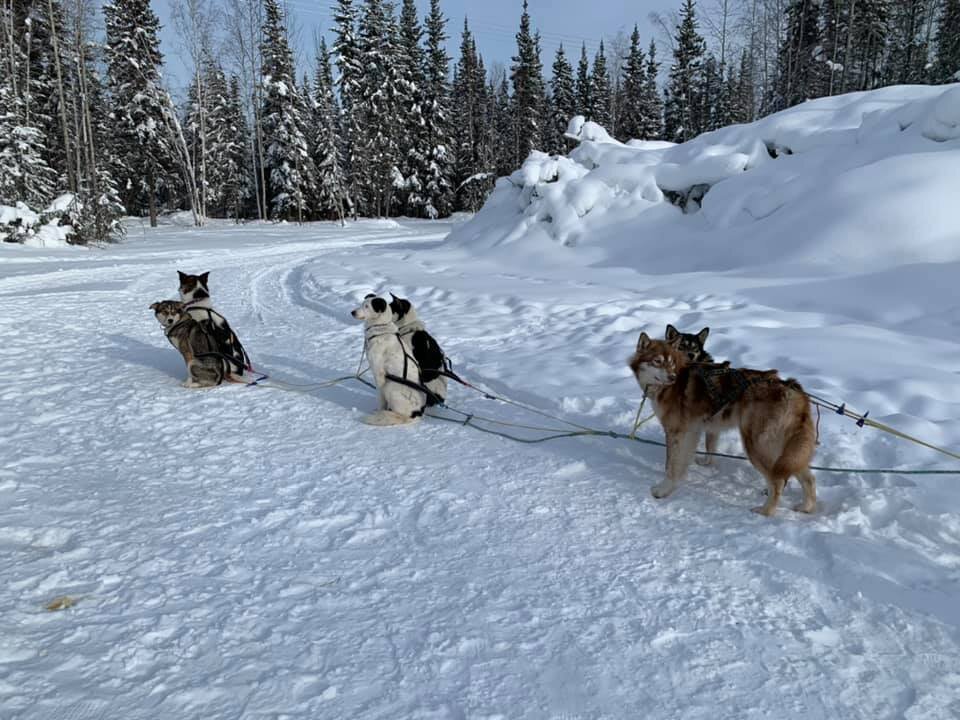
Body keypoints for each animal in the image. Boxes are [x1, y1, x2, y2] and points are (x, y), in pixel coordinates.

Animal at [350, 296, 426, 424]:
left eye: (367, 306)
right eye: (362, 304)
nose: (352, 312)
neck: (380, 327)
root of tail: (417, 413)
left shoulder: (379, 375)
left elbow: (381, 399)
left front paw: (379, 411)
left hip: (390, 386)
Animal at [632, 332, 816, 516]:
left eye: (671, 362)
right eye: (657, 361)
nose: (672, 377)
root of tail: (791, 388)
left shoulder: (676, 432)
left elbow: (671, 465)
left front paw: (663, 490)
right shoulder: (695, 431)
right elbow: (696, 455)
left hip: (756, 445)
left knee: (777, 482)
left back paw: (765, 511)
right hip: (788, 453)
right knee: (808, 478)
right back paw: (806, 507)